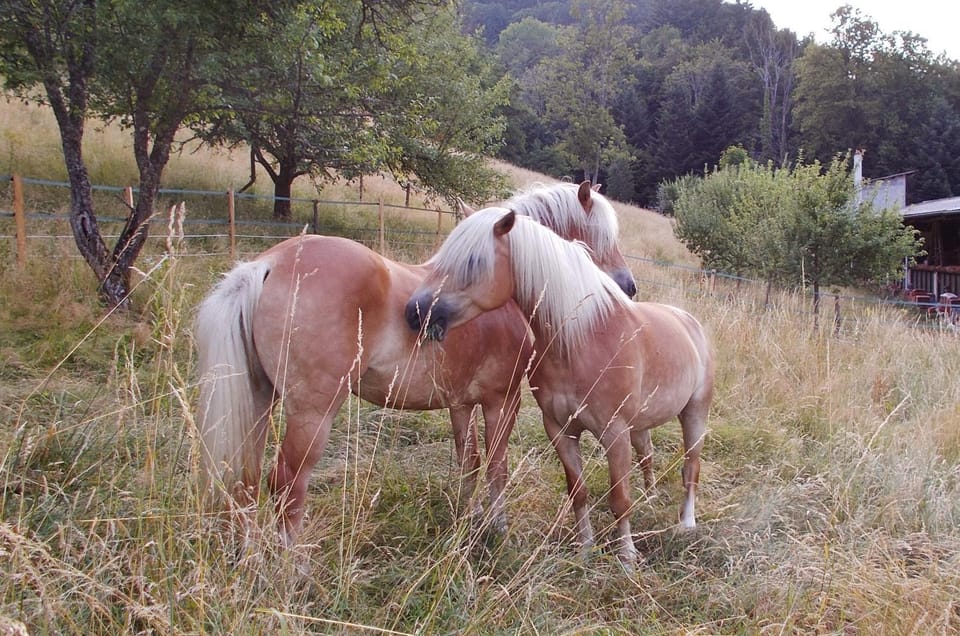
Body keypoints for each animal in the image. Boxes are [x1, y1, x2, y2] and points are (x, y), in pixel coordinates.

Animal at [195, 181, 637, 546]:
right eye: (601, 237)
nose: (628, 286)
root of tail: (268, 265)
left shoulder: (461, 403)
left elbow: (468, 463)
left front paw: (469, 517)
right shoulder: (501, 401)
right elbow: (496, 467)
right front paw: (499, 529)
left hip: (259, 399)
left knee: (247, 479)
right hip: (312, 414)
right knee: (287, 484)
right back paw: (294, 568)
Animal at [404, 207, 714, 568]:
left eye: (472, 261)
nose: (413, 312)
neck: (582, 340)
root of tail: (689, 321)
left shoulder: (615, 433)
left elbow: (620, 498)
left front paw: (626, 558)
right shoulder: (560, 430)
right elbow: (577, 491)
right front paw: (585, 550)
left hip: (694, 415)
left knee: (691, 466)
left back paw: (687, 523)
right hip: (641, 425)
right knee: (649, 455)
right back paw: (651, 502)